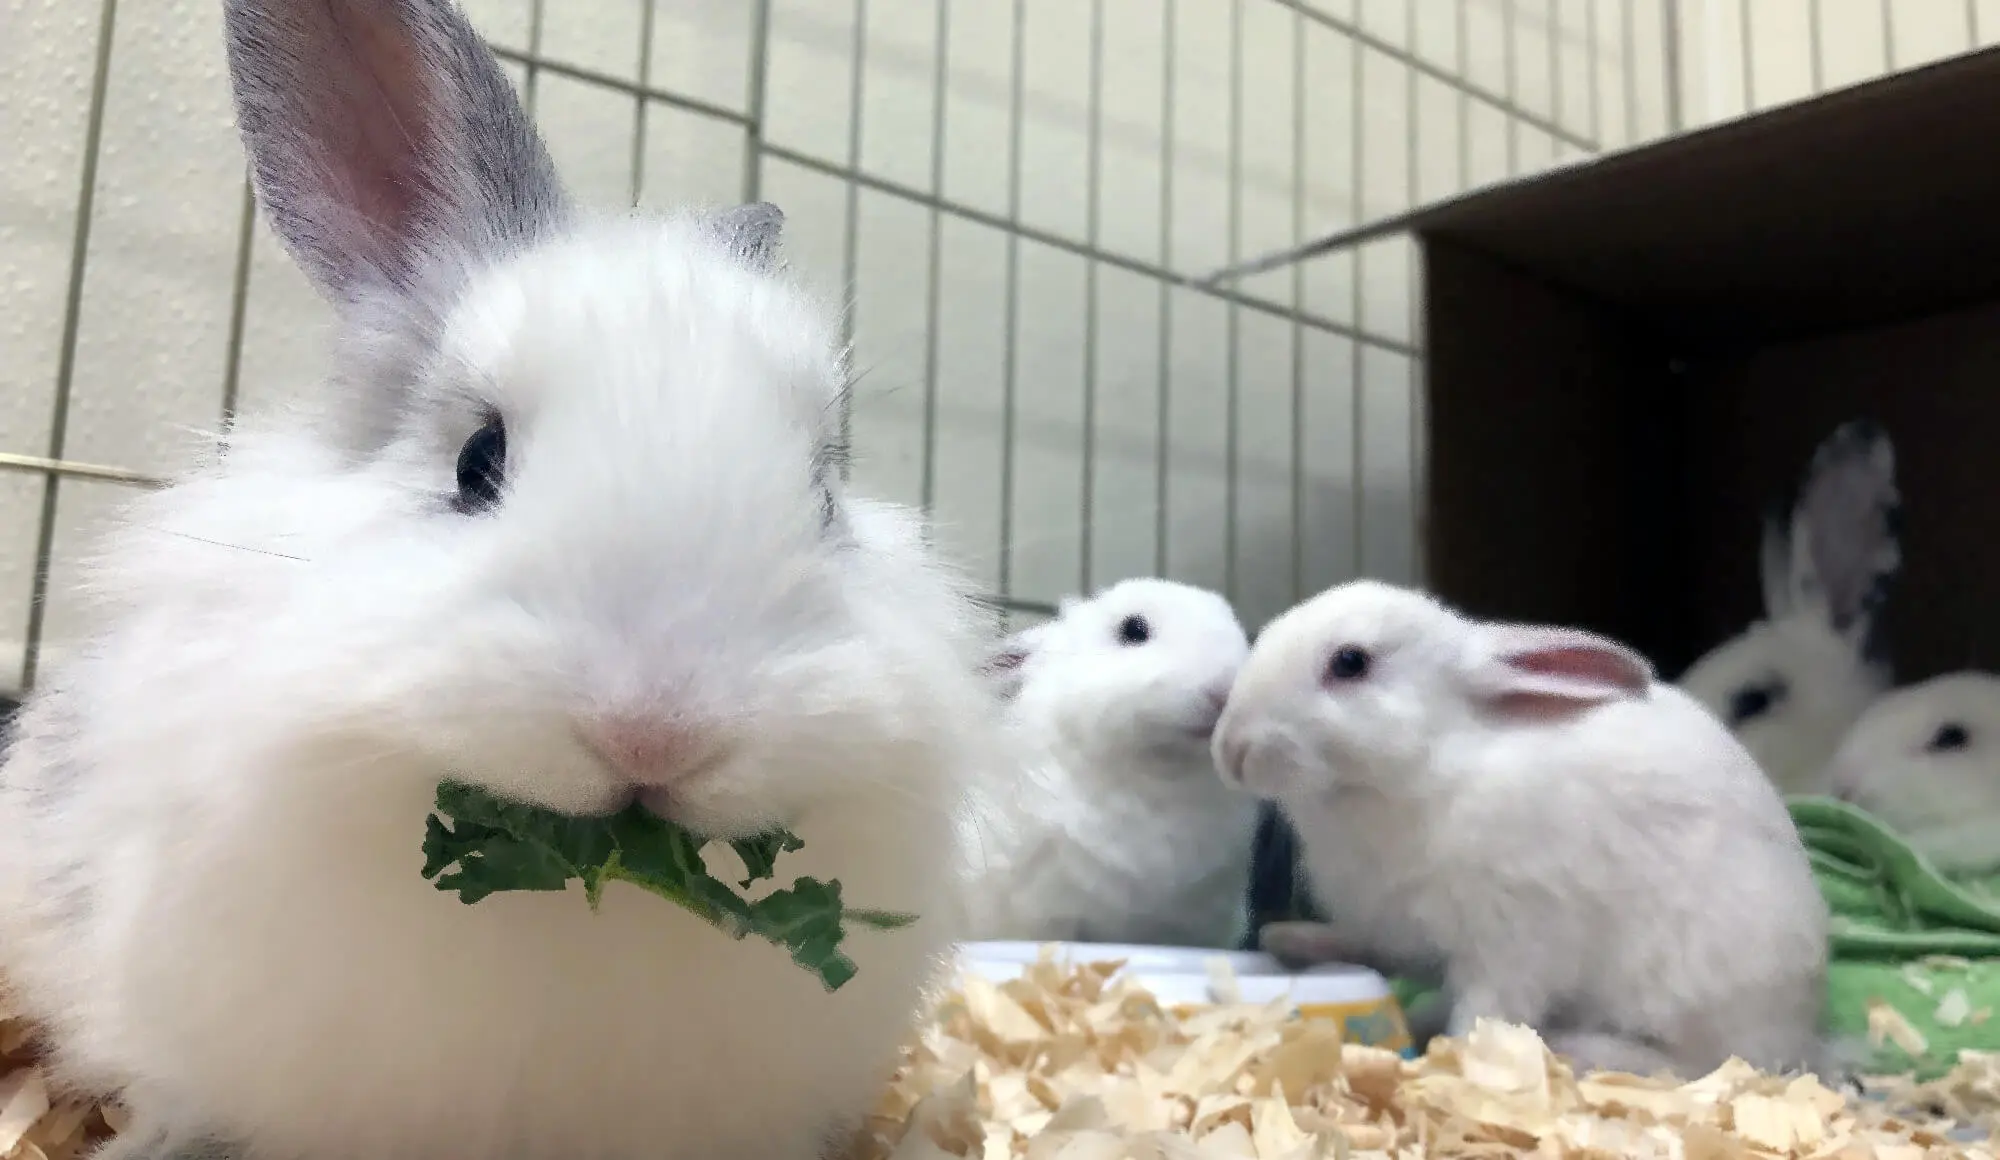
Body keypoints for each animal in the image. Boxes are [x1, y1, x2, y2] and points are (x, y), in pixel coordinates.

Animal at [1212, 579, 1832, 1079]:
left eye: (1350, 662)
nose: (1231, 749)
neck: (1423, 770)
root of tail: (1805, 1030)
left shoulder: (1514, 938)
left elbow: (1485, 1010)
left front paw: (1446, 1062)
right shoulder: (1407, 930)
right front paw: (1292, 939)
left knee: (1705, 1063)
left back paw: (1584, 1049)